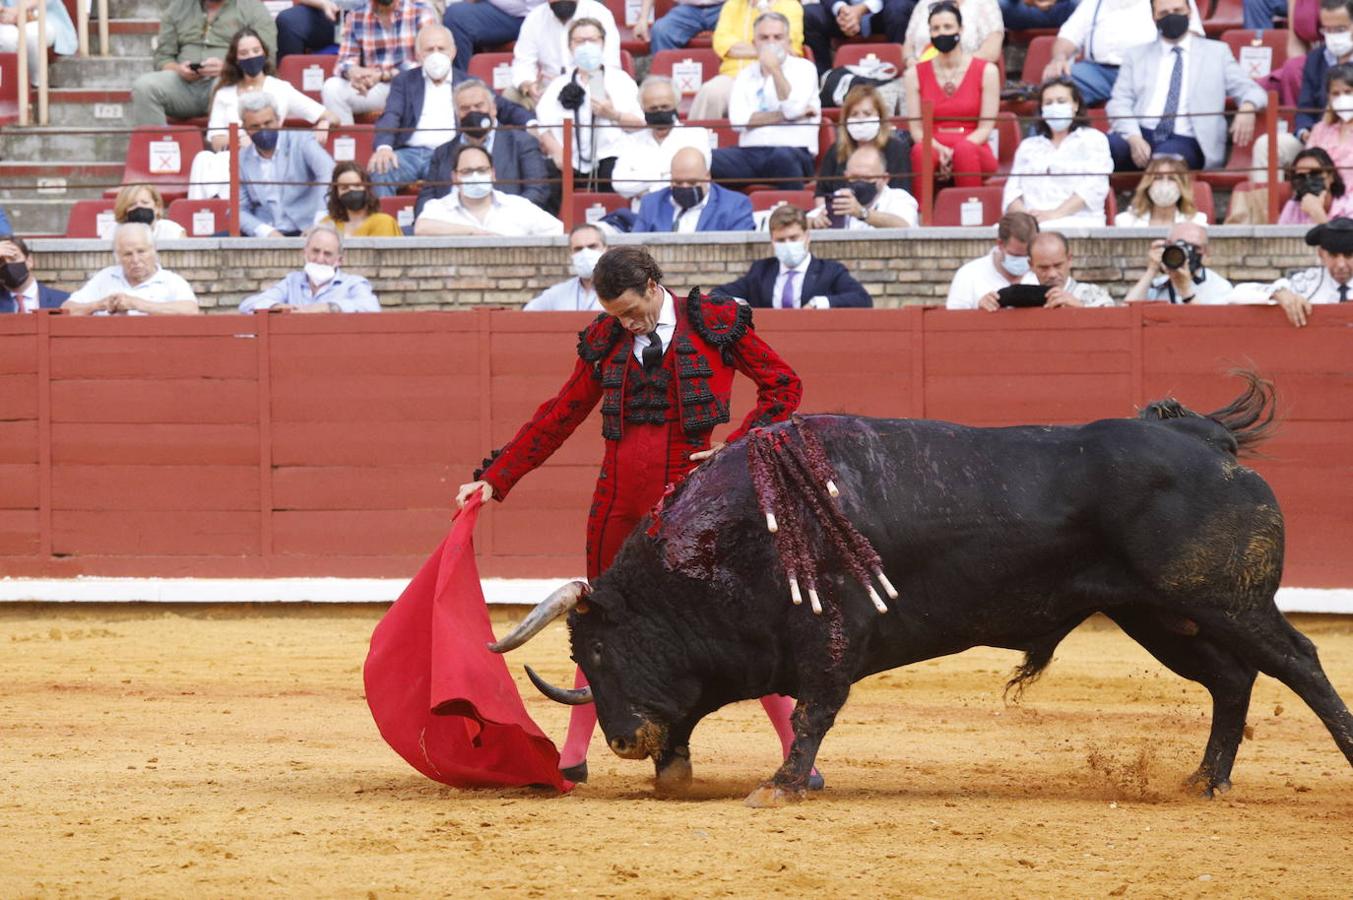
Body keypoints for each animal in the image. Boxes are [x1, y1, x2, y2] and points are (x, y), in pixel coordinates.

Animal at [489, 373, 1353, 806]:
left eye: (600, 648)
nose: (622, 739)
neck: (731, 539)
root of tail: (1204, 439)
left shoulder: (828, 640)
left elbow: (813, 712)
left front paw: (779, 787)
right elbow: (715, 710)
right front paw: (678, 772)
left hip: (1224, 601)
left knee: (1299, 663)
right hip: (1161, 614)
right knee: (1231, 681)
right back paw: (1203, 781)